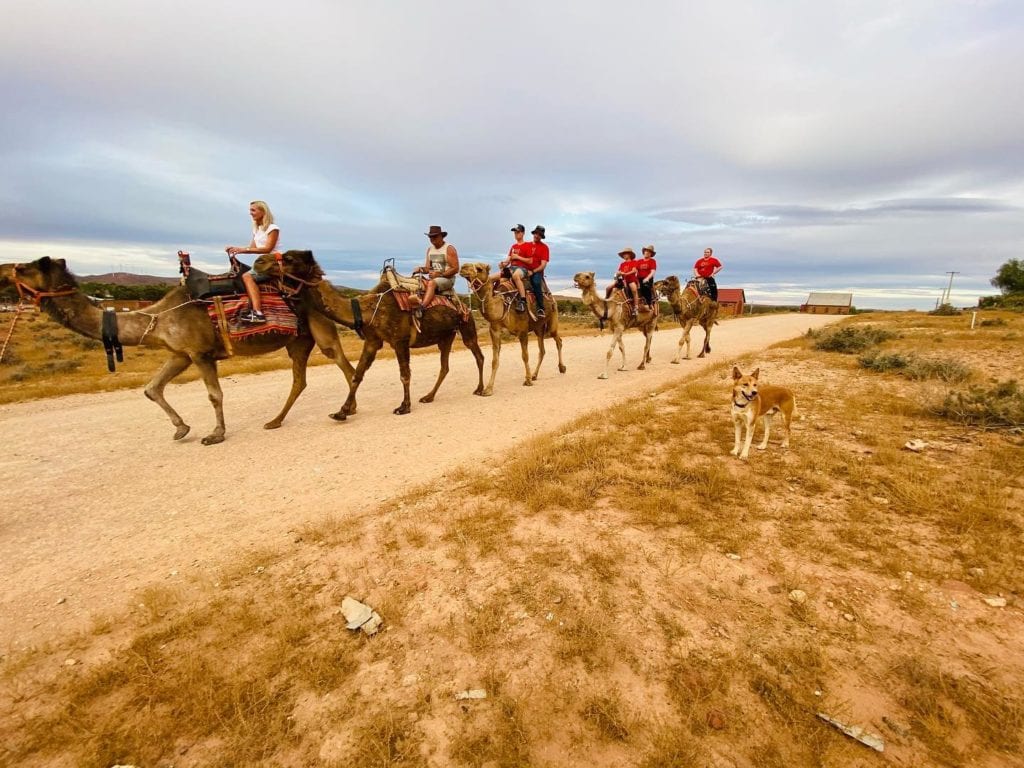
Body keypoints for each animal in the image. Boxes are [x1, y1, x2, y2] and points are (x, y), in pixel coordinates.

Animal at [0, 257, 354, 444]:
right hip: (298, 340)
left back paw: (345, 410)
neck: (157, 318)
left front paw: (215, 434)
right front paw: (181, 428)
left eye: (24, 267)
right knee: (301, 379)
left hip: (319, 327)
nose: (4, 269)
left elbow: (214, 395)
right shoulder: (180, 354)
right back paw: (276, 421)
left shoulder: (199, 353)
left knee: (343, 364)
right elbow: (151, 388)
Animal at [251, 250, 483, 421]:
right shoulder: (372, 341)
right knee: (445, 366)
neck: (367, 310)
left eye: (289, 258)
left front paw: (403, 407)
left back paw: (480, 389)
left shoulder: (399, 341)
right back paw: (428, 396)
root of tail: (461, 303)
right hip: (446, 336)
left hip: (466, 325)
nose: (258, 261)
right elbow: (357, 374)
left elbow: (404, 374)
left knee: (478, 355)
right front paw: (342, 411)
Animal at [458, 264, 565, 397]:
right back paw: (535, 375)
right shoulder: (494, 329)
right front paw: (488, 389)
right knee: (542, 350)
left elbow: (525, 356)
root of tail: (552, 297)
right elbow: (495, 360)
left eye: (479, 268)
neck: (503, 305)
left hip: (552, 320)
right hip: (538, 328)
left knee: (558, 340)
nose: (463, 267)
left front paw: (527, 380)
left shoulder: (523, 331)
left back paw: (561, 368)